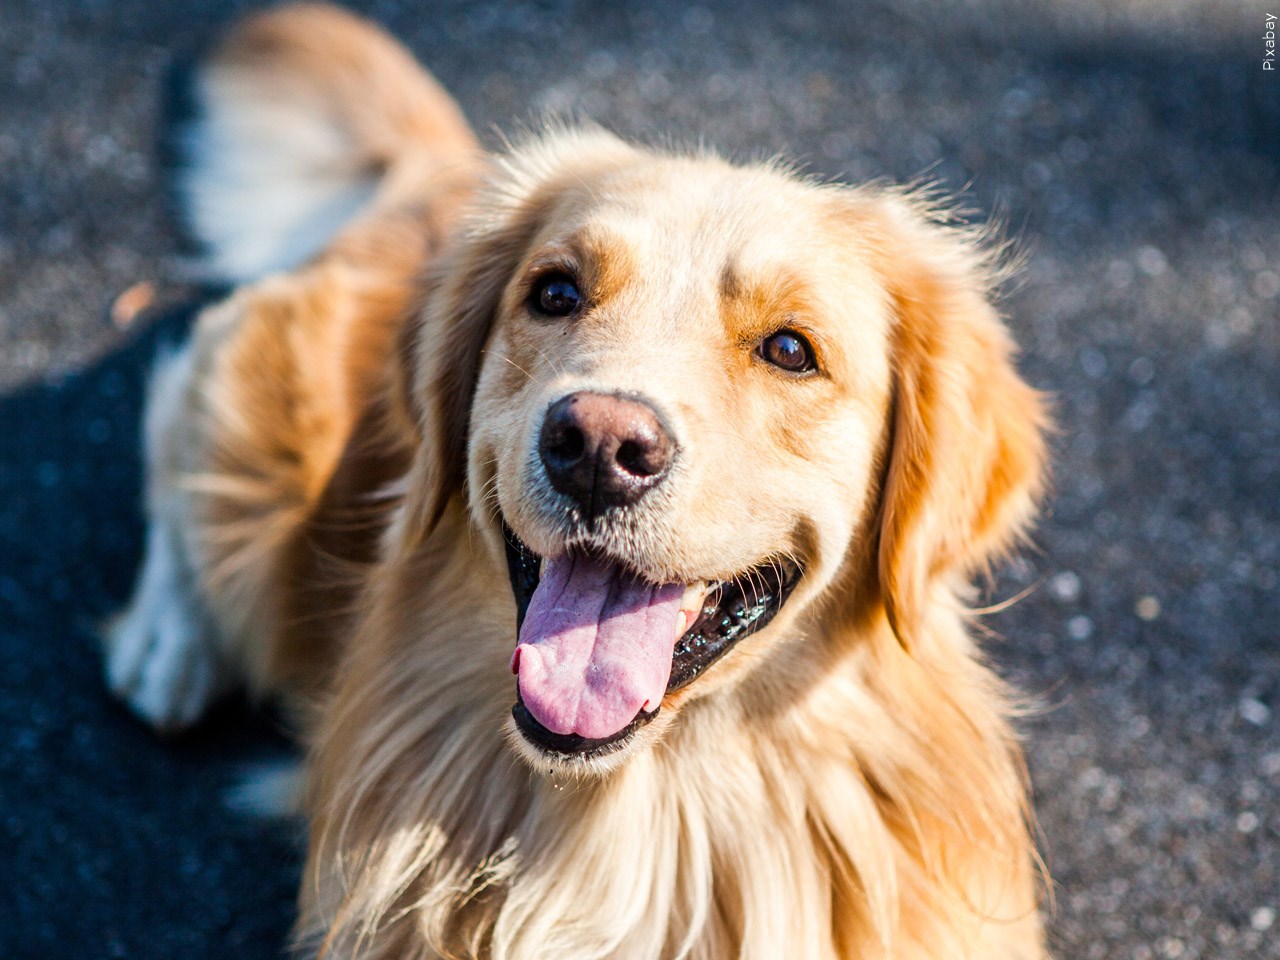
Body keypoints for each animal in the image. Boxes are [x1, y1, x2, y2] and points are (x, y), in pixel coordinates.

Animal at [104, 5, 1049, 957]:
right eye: (555, 293)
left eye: (791, 349)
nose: (597, 445)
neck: (634, 827)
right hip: (255, 448)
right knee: (173, 406)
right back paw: (168, 641)